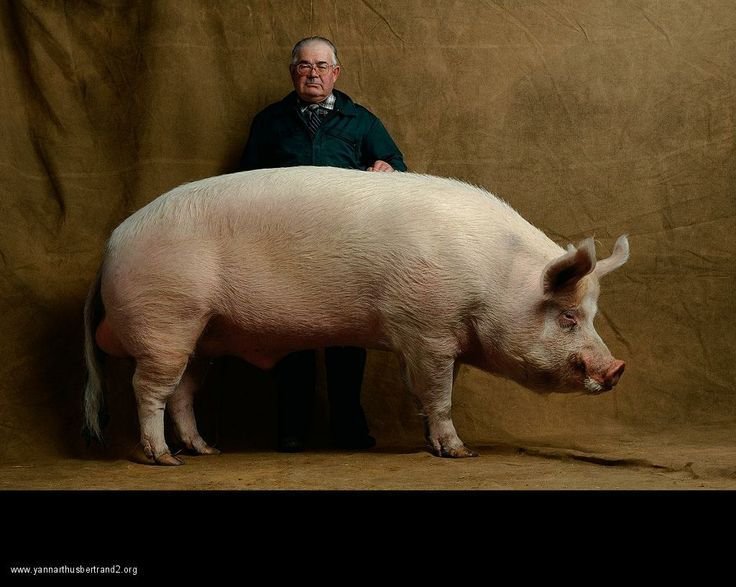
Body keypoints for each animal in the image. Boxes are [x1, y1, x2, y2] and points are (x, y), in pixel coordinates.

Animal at [83, 166, 629, 465]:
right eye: (568, 317)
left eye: (594, 314)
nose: (618, 367)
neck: (493, 282)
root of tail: (110, 245)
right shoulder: (427, 327)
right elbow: (440, 394)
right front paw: (460, 452)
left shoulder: (425, 338)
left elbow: (427, 394)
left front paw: (433, 445)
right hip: (165, 319)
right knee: (148, 389)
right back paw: (163, 460)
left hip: (202, 336)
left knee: (183, 394)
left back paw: (205, 452)